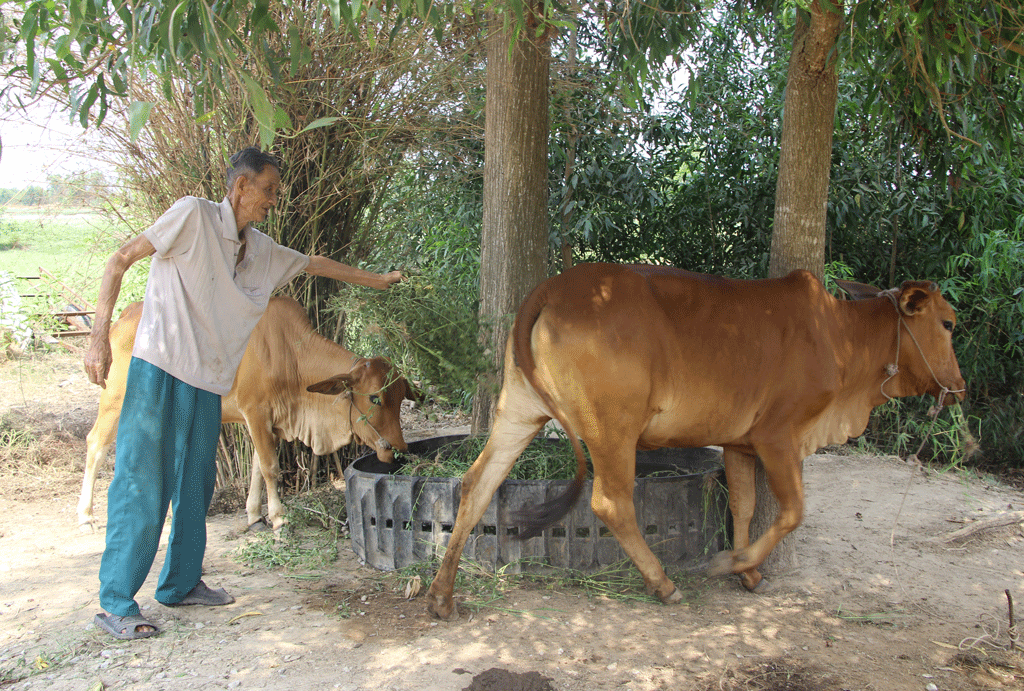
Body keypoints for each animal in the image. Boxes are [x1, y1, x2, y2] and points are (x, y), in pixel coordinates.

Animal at [78, 296, 415, 528]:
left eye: (401, 398)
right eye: (374, 398)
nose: (399, 450)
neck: (291, 356)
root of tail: (125, 316)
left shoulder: (270, 422)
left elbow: (255, 467)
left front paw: (254, 515)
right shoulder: (256, 412)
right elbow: (270, 467)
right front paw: (278, 518)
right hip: (114, 400)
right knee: (96, 443)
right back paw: (86, 515)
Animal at [425, 262, 966, 618]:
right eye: (947, 323)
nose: (959, 387)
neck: (840, 339)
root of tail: (551, 290)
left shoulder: (740, 443)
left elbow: (744, 506)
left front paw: (748, 571)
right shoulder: (779, 436)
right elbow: (792, 511)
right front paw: (734, 562)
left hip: (518, 410)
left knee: (476, 484)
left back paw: (442, 596)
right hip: (612, 426)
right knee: (611, 502)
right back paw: (663, 583)